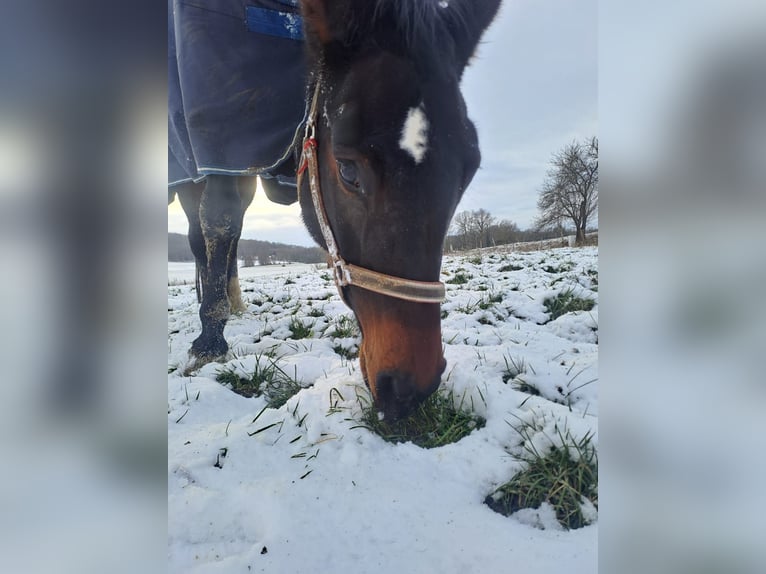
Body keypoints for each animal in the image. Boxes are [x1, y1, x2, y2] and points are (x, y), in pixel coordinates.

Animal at [169, 0, 501, 420]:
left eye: (468, 170)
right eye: (347, 170)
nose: (411, 389)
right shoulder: (223, 148)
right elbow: (220, 223)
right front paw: (210, 340)